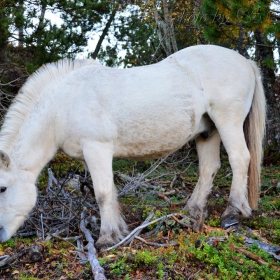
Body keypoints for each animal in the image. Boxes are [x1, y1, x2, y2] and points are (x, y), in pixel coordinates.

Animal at [0, 44, 264, 248]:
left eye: (2, 188)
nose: (0, 236)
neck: (63, 104)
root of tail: (246, 61)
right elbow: (109, 191)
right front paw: (118, 230)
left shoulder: (96, 148)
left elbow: (102, 194)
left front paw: (106, 239)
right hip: (208, 132)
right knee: (209, 168)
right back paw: (193, 210)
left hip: (228, 122)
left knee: (240, 159)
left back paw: (232, 213)